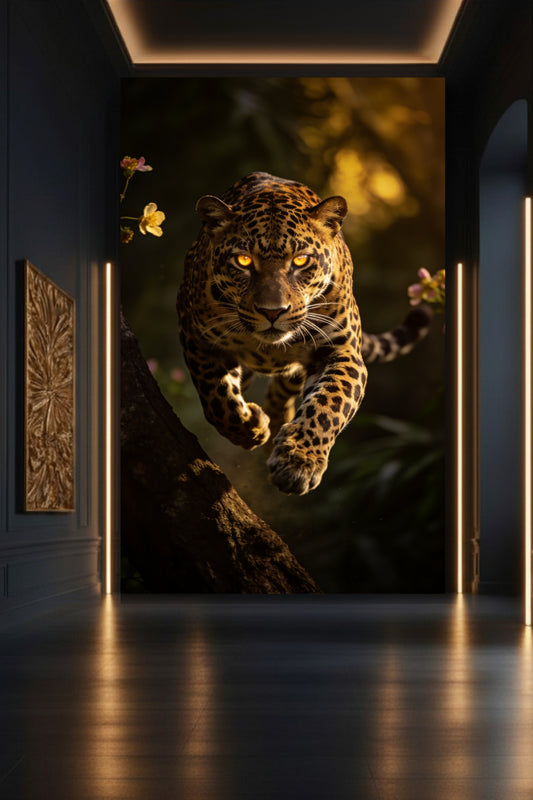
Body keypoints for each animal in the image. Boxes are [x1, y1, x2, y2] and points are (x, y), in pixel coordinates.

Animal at [177, 172, 431, 495]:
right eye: (243, 260)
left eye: (300, 260)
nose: (273, 311)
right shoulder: (196, 336)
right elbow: (216, 397)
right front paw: (250, 427)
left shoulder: (341, 352)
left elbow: (329, 405)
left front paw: (298, 463)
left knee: (281, 389)